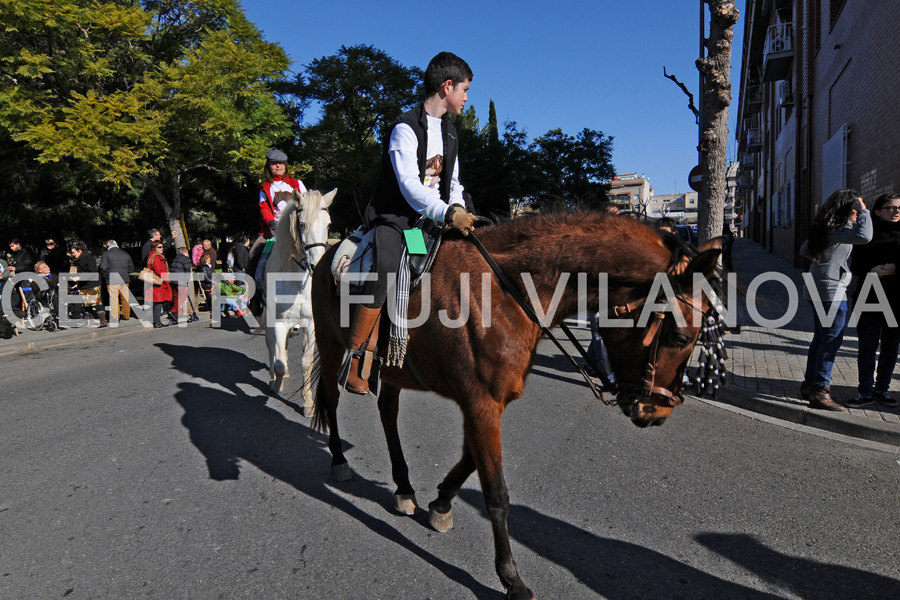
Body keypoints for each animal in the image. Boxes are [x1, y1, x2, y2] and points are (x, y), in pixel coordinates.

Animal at [264, 186, 338, 412]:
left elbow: (306, 362)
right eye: (302, 224)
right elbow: (278, 363)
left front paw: (308, 402)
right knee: (271, 347)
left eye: (328, 224)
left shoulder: (312, 324)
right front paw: (276, 385)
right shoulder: (279, 322)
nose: (318, 265)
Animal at [312, 212, 720, 600]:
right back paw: (339, 461)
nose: (658, 412)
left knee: (388, 412)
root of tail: (328, 255)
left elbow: (470, 461)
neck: (505, 292)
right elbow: (496, 494)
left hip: (393, 370)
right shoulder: (481, 404)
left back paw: (403, 487)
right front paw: (511, 578)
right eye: (681, 336)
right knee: (331, 400)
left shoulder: (483, 404)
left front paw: (441, 503)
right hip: (331, 348)